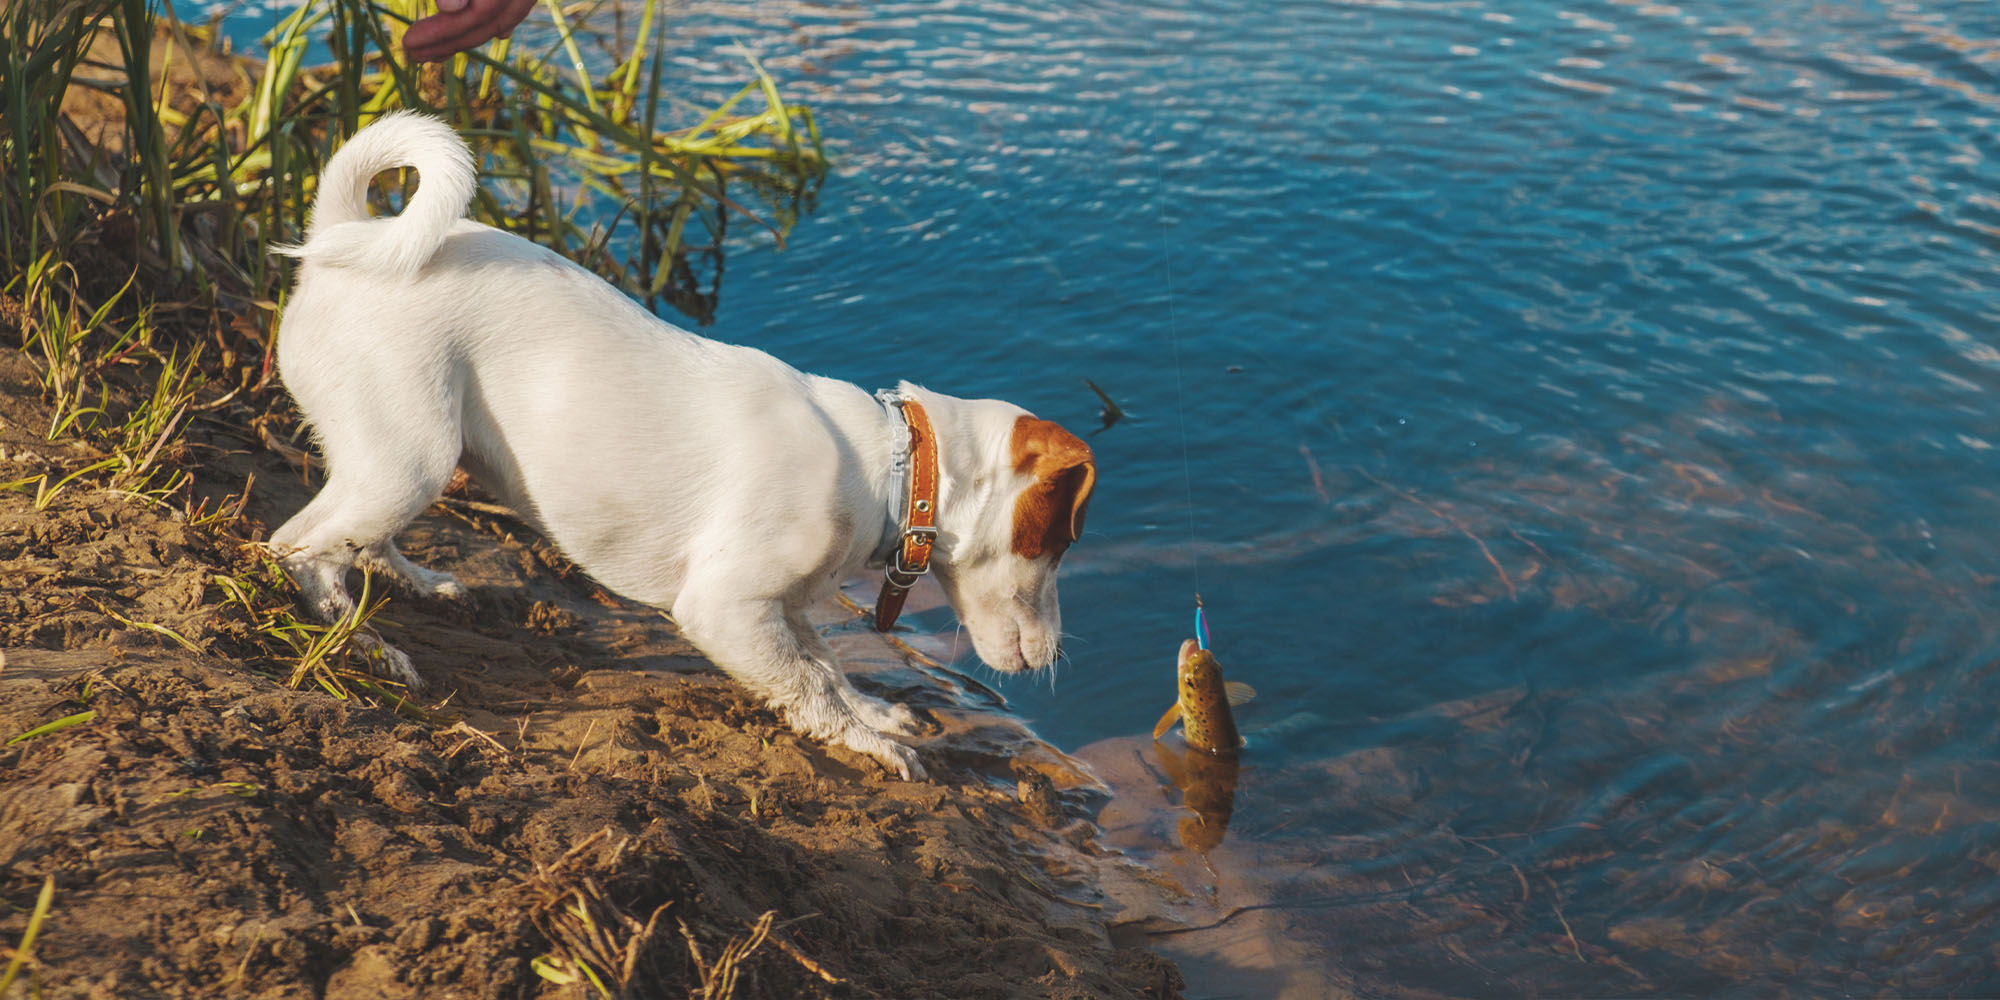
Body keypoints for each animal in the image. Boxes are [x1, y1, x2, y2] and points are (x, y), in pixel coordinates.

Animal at [266, 111, 1096, 780]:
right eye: (1056, 545)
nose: (1059, 658)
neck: (890, 467)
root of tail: (340, 237)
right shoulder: (725, 609)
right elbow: (810, 687)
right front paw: (867, 742)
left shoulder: (785, 608)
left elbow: (828, 668)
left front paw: (873, 713)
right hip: (410, 460)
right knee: (298, 549)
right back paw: (360, 645)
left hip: (400, 463)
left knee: (356, 540)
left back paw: (417, 583)